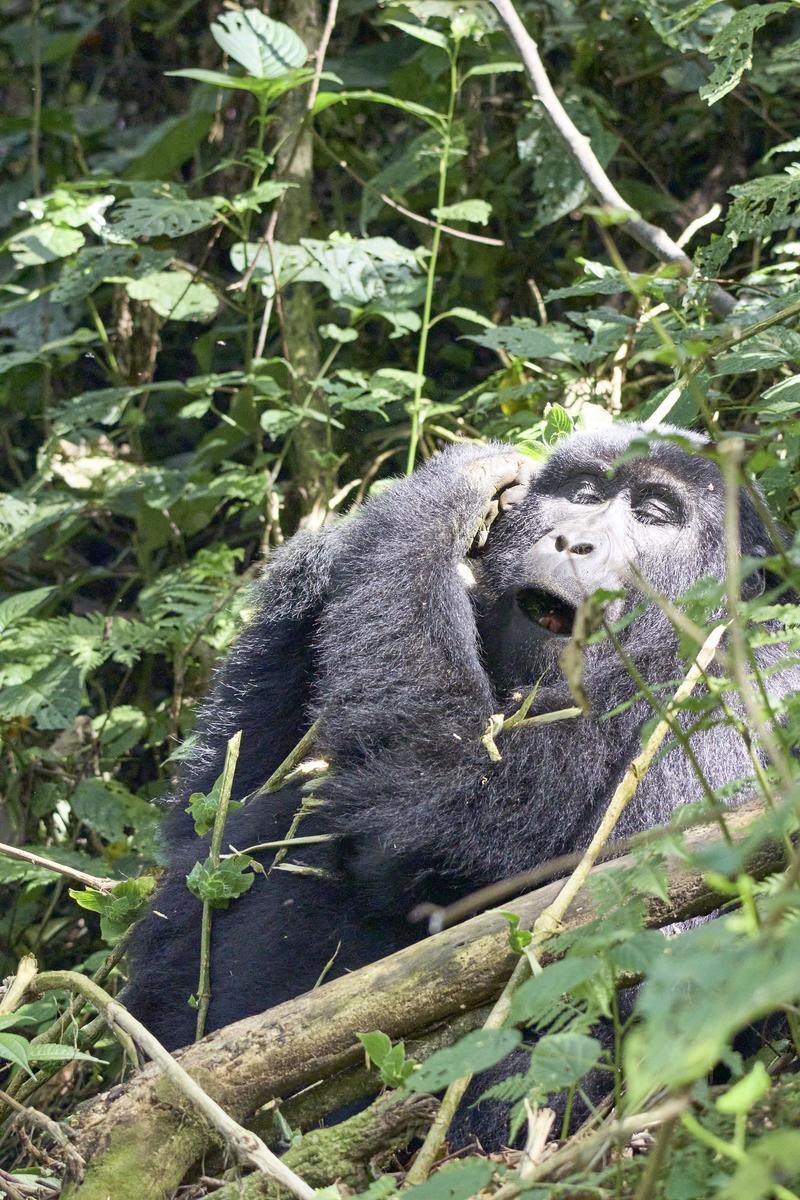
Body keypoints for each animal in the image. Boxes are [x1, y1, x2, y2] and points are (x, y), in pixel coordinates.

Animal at [125, 429, 800, 1123]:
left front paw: (451, 487)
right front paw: (440, 497)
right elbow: (210, 822)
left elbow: (434, 807)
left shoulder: (731, 687)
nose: (574, 542)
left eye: (654, 514)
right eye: (585, 493)